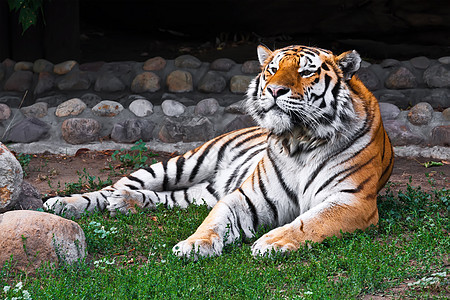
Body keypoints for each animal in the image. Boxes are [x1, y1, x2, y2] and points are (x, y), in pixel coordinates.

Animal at [44, 44, 392, 258]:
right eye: (272, 69)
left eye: (306, 72)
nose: (274, 90)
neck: (299, 141)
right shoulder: (246, 195)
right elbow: (214, 222)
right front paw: (194, 245)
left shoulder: (351, 201)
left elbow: (310, 222)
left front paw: (272, 241)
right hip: (184, 163)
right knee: (111, 188)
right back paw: (63, 204)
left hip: (202, 191)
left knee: (164, 197)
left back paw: (127, 203)